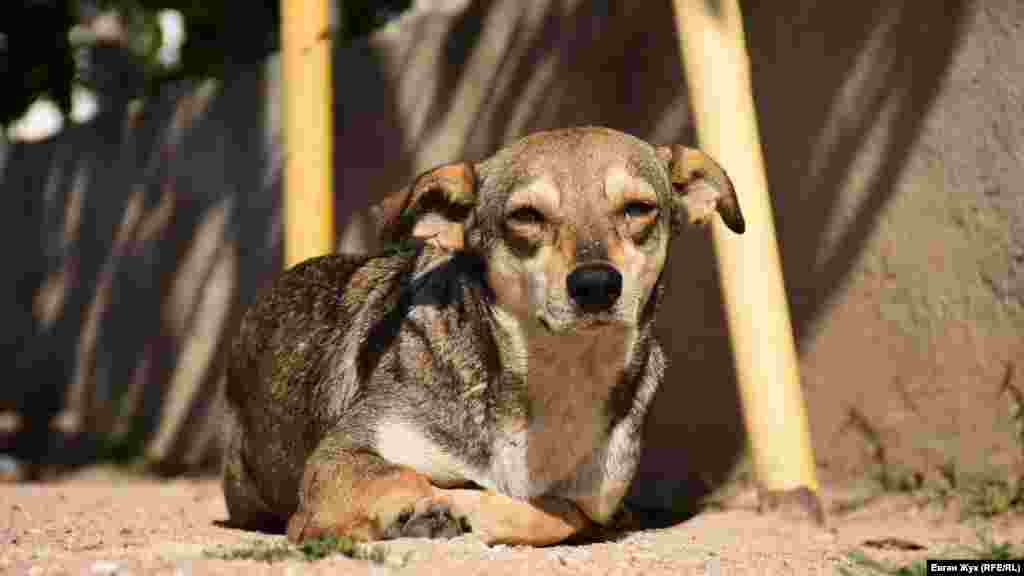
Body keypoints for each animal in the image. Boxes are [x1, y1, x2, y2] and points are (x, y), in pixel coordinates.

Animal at [222, 124, 745, 541]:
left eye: (638, 208)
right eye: (526, 215)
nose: (596, 285)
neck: (558, 374)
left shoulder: (587, 501)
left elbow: (550, 513)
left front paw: (466, 505)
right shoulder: (339, 455)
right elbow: (400, 477)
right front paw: (423, 506)